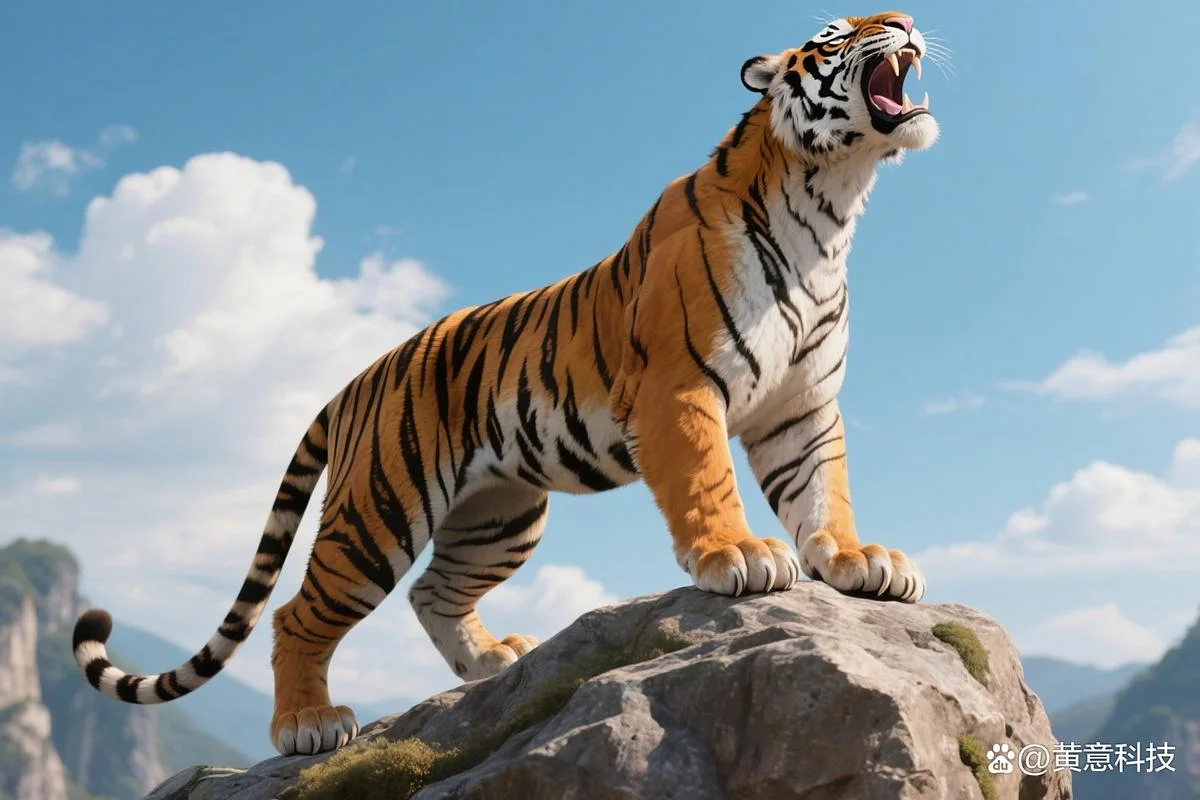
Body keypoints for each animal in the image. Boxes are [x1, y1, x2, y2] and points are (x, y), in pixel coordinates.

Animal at [72, 11, 940, 757]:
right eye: (833, 34)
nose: (903, 20)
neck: (828, 206)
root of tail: (354, 379)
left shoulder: (802, 407)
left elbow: (822, 488)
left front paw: (858, 560)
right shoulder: (680, 387)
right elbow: (708, 481)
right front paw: (742, 554)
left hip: (501, 515)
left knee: (433, 593)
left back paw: (496, 663)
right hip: (377, 512)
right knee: (297, 613)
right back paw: (308, 725)